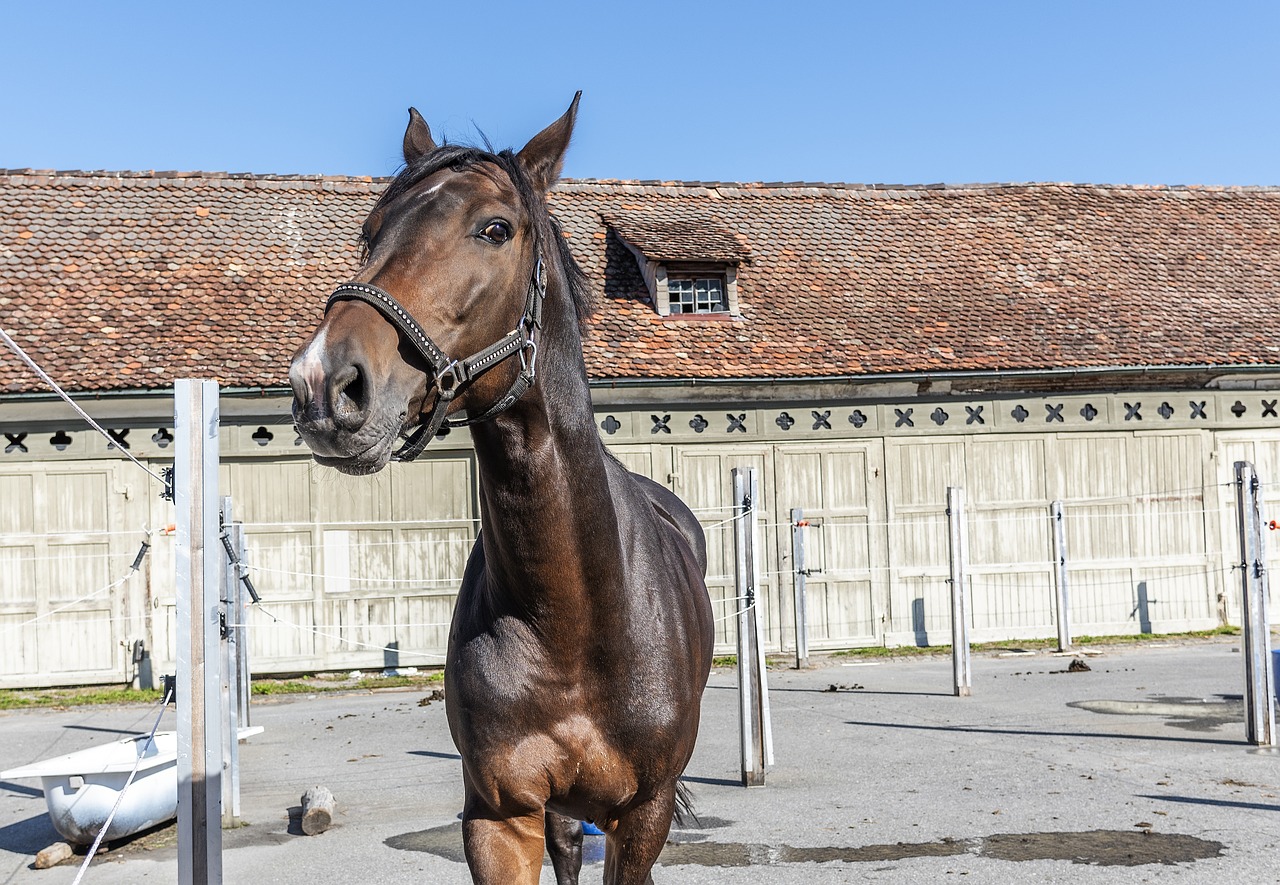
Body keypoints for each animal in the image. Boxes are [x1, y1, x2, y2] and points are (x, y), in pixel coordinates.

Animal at [284, 96, 716, 885]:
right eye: (370, 233)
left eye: (495, 228)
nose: (324, 385)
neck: (570, 618)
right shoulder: (498, 816)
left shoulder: (644, 816)